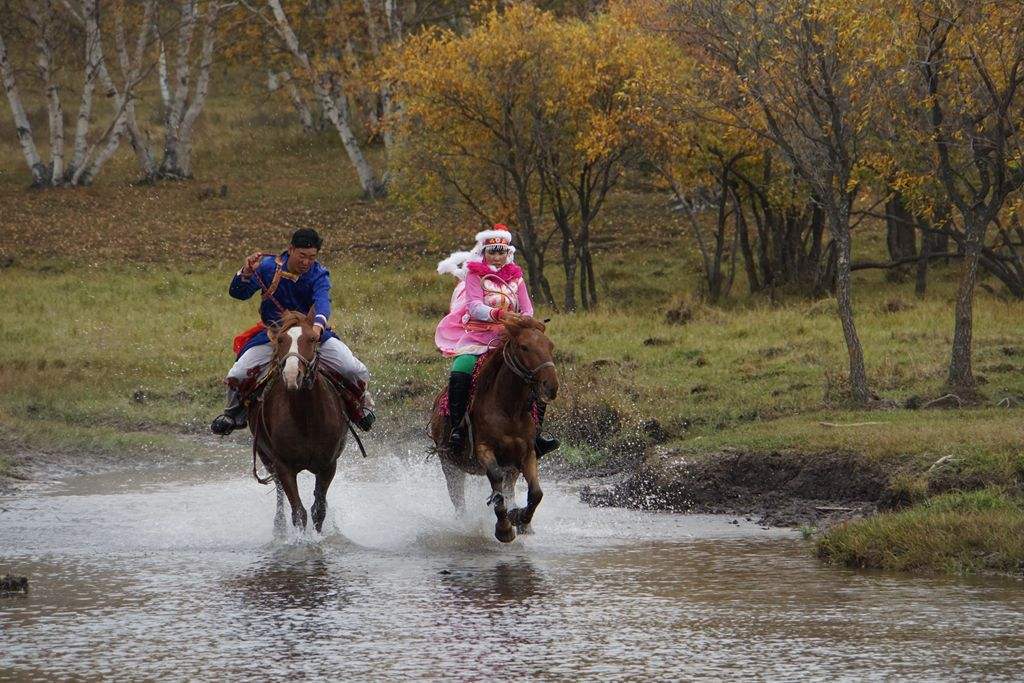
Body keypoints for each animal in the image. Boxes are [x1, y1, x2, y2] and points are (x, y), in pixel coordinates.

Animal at [246, 309, 348, 532]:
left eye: (312, 338)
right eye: (281, 339)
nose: (292, 375)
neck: (306, 417)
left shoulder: (328, 466)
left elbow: (318, 510)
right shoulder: (284, 466)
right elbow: (299, 512)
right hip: (266, 457)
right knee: (279, 492)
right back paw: (279, 526)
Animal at [432, 317, 561, 544]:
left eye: (550, 346)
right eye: (524, 347)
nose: (551, 386)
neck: (509, 409)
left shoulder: (527, 454)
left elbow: (536, 493)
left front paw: (520, 518)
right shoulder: (483, 449)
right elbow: (496, 483)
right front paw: (504, 528)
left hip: (512, 468)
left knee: (509, 489)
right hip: (449, 464)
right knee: (458, 499)